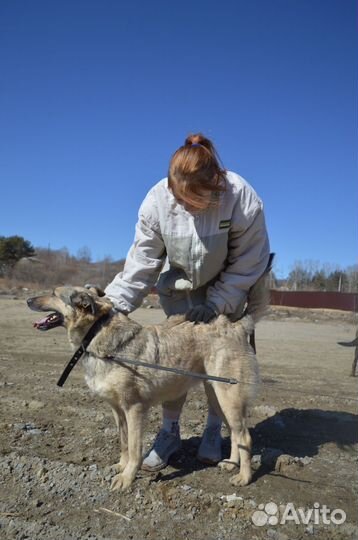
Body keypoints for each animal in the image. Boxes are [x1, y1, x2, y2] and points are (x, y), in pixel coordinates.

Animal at [28, 276, 268, 492]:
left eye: (53, 293)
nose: (28, 300)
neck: (97, 331)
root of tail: (237, 326)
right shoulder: (117, 410)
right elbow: (124, 443)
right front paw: (121, 466)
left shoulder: (134, 409)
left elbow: (135, 449)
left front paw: (127, 478)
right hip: (218, 397)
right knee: (236, 434)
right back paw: (231, 464)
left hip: (229, 398)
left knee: (245, 436)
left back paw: (244, 477)